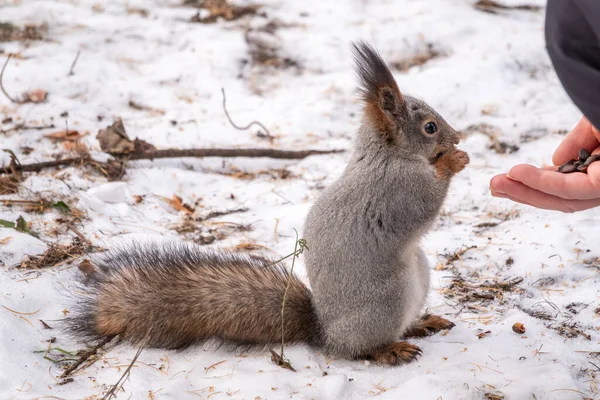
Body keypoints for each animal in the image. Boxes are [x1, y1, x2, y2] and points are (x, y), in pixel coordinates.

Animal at [65, 40, 468, 366]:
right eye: (430, 127)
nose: (458, 136)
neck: (387, 155)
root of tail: (326, 333)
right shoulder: (400, 190)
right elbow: (425, 205)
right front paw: (452, 161)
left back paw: (422, 322)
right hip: (386, 300)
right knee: (361, 349)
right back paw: (390, 348)